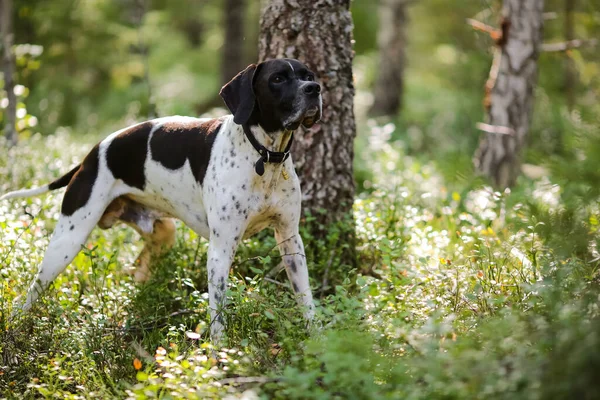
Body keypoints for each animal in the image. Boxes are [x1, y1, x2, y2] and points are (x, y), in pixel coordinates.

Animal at [2, 57, 322, 342]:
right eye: (277, 78)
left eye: (308, 74)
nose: (315, 88)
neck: (265, 155)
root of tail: (91, 154)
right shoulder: (221, 250)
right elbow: (218, 314)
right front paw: (221, 356)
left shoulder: (290, 240)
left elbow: (306, 298)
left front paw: (317, 338)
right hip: (66, 242)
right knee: (31, 293)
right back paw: (15, 326)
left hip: (163, 234)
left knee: (138, 272)